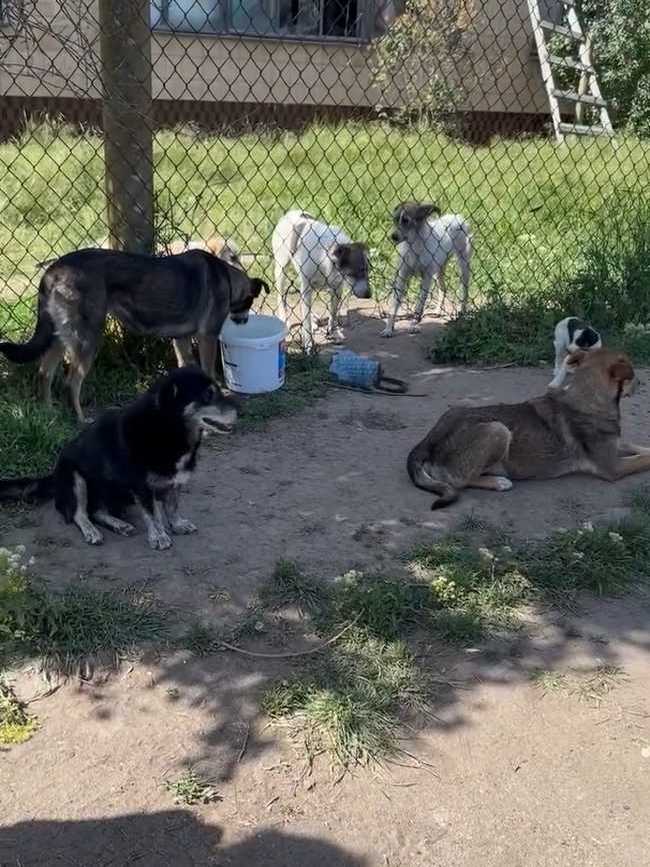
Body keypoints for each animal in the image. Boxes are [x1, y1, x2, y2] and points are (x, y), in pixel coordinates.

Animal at [0, 248, 269, 421]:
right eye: (250, 302)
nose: (245, 321)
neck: (227, 277)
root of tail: (53, 270)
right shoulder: (208, 337)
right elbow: (208, 372)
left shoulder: (181, 340)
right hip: (87, 338)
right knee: (71, 382)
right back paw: (80, 419)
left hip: (58, 336)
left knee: (45, 372)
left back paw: (48, 413)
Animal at [0, 367, 237, 549]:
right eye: (208, 395)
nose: (239, 410)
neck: (168, 429)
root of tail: (52, 475)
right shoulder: (142, 487)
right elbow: (153, 514)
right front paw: (159, 536)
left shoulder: (174, 482)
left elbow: (172, 507)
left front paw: (177, 524)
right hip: (76, 479)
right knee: (80, 514)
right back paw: (92, 532)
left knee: (97, 511)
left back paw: (119, 524)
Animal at [272, 210, 371, 352]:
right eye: (357, 271)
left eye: (367, 270)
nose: (369, 295)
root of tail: (289, 213)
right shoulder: (306, 288)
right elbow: (306, 320)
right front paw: (308, 343)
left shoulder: (336, 289)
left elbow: (333, 313)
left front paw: (333, 333)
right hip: (281, 270)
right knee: (281, 298)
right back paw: (285, 319)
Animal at [381, 202, 472, 337]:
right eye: (395, 220)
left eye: (406, 220)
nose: (393, 237)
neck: (414, 245)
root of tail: (456, 217)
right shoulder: (402, 277)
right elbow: (394, 305)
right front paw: (388, 329)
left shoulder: (426, 279)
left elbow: (419, 305)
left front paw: (413, 325)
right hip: (439, 270)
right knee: (443, 289)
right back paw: (438, 310)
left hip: (463, 265)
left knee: (465, 291)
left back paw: (462, 312)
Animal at [407, 348, 650, 509]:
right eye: (632, 376)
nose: (641, 384)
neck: (587, 397)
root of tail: (428, 441)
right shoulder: (613, 467)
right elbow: (644, 459)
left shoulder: (616, 446)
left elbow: (638, 447)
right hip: (498, 429)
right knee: (460, 481)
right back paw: (498, 482)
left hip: (463, 409)